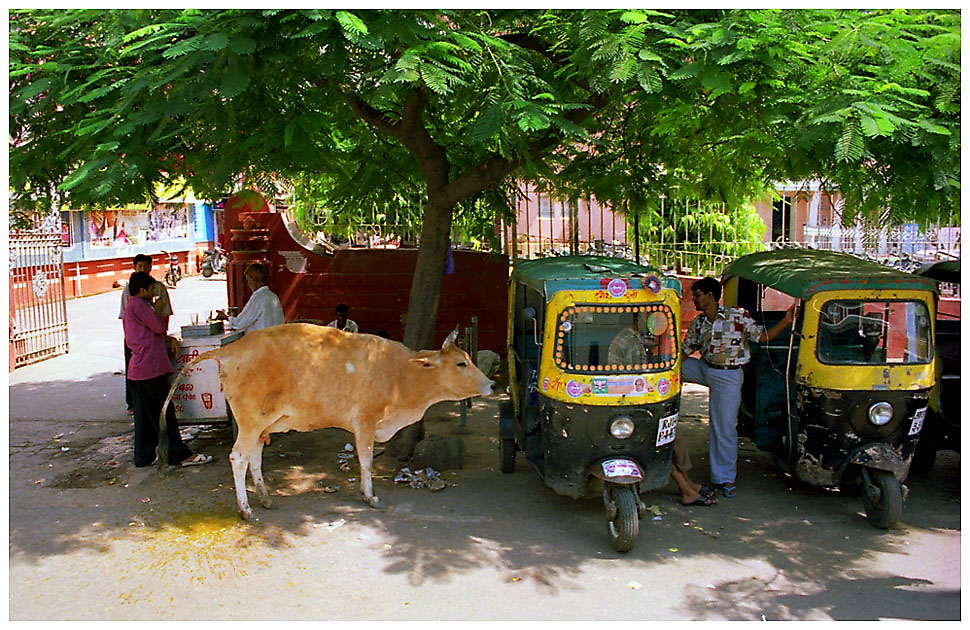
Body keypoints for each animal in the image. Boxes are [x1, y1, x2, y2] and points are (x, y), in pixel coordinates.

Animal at [160, 324, 496, 520]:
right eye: (461, 362)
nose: (492, 384)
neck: (401, 372)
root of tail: (231, 349)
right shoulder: (365, 422)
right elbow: (366, 461)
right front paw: (370, 496)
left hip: (260, 426)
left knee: (253, 457)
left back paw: (265, 499)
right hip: (251, 423)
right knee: (238, 457)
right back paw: (246, 510)